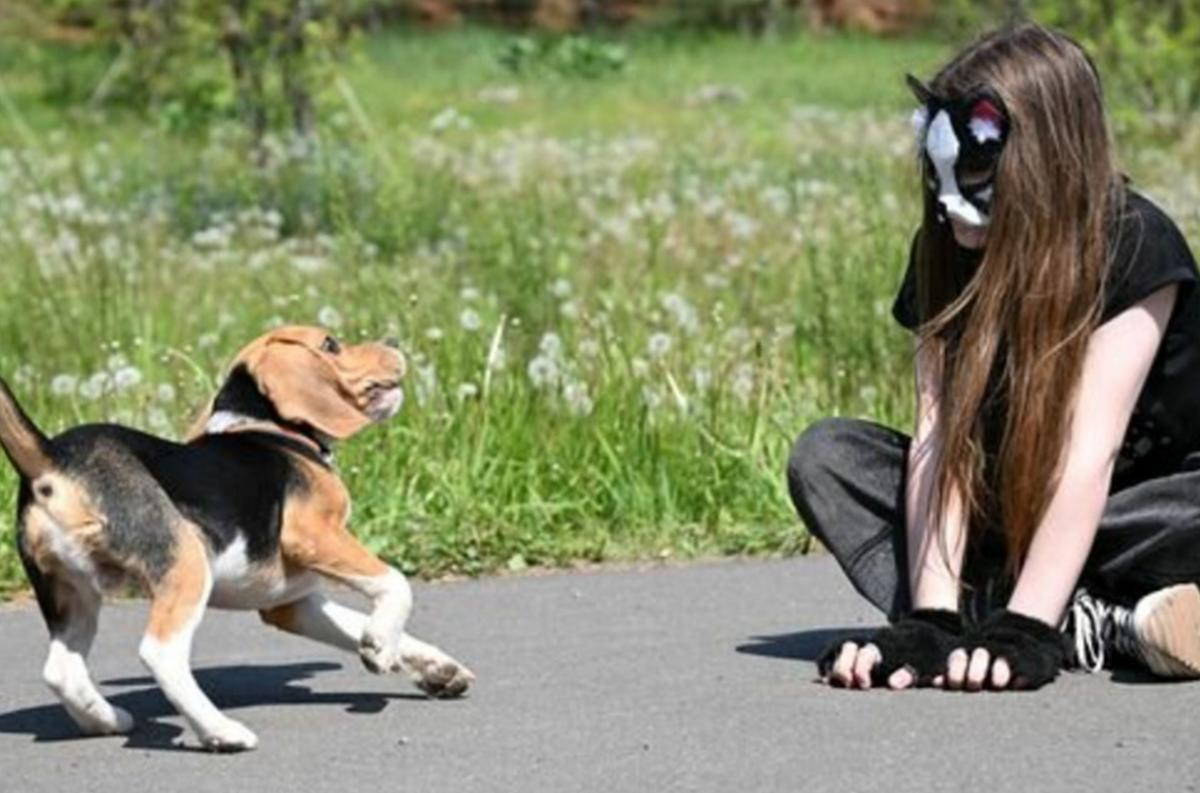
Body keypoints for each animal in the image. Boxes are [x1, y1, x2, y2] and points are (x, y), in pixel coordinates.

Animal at [0, 326, 477, 748]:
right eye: (331, 344)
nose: (394, 342)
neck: (271, 428)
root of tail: (52, 458)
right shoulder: (315, 534)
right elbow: (395, 583)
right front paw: (379, 646)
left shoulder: (290, 603)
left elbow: (357, 624)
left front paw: (434, 667)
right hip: (187, 564)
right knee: (160, 653)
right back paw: (221, 732)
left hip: (71, 593)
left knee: (61, 670)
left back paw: (106, 719)